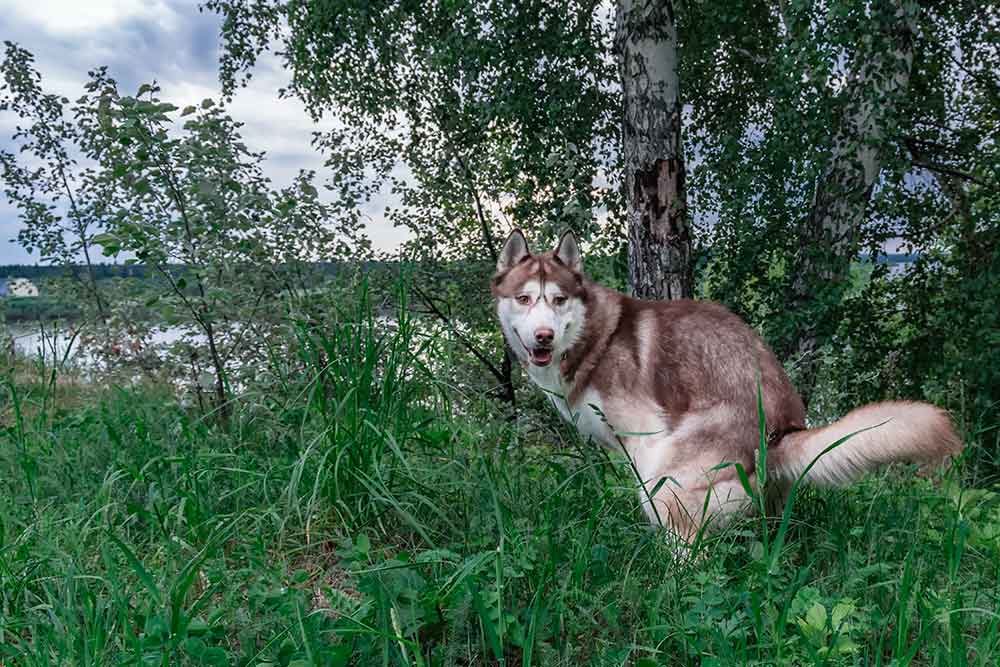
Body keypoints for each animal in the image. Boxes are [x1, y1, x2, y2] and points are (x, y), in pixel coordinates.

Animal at [492, 230, 960, 544]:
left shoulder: (646, 435)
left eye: (558, 300)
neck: (594, 337)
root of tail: (780, 432)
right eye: (523, 299)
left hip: (672, 478)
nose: (544, 337)